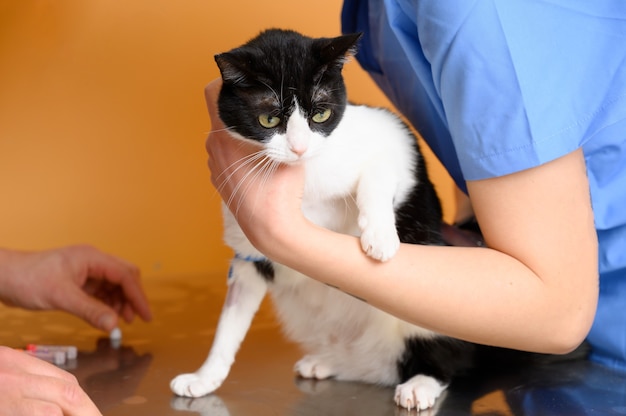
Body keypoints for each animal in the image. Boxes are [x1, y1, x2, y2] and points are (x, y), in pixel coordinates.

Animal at [167, 28, 478, 410]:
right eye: (269, 119)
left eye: (320, 115)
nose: (299, 148)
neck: (306, 176)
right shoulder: (248, 256)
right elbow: (229, 322)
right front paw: (205, 376)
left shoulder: (394, 135)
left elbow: (379, 171)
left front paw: (379, 236)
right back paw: (329, 362)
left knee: (444, 354)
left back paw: (421, 382)